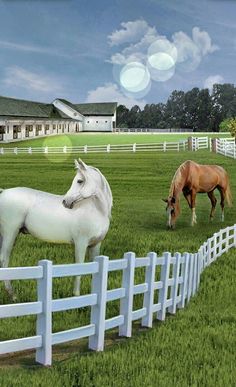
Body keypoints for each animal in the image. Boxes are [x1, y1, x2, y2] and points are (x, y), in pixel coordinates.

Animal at [0, 159, 112, 298]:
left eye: (79, 181)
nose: (65, 202)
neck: (97, 211)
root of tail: (4, 192)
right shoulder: (81, 243)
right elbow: (79, 268)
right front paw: (76, 296)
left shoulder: (95, 245)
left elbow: (94, 270)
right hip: (10, 233)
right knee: (4, 260)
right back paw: (13, 295)